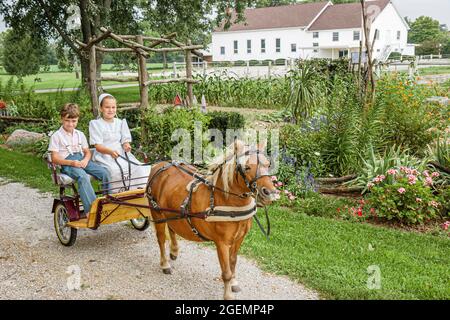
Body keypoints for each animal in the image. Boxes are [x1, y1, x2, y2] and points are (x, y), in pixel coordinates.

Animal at [146, 140, 280, 300]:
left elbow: (233, 262)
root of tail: (159, 165)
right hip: (157, 213)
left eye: (268, 164)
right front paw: (228, 294)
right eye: (246, 167)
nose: (270, 193)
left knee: (172, 228)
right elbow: (226, 271)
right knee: (161, 239)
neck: (225, 199)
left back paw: (174, 251)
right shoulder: (222, 243)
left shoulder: (239, 238)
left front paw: (234, 283)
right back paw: (165, 264)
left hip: (171, 213)